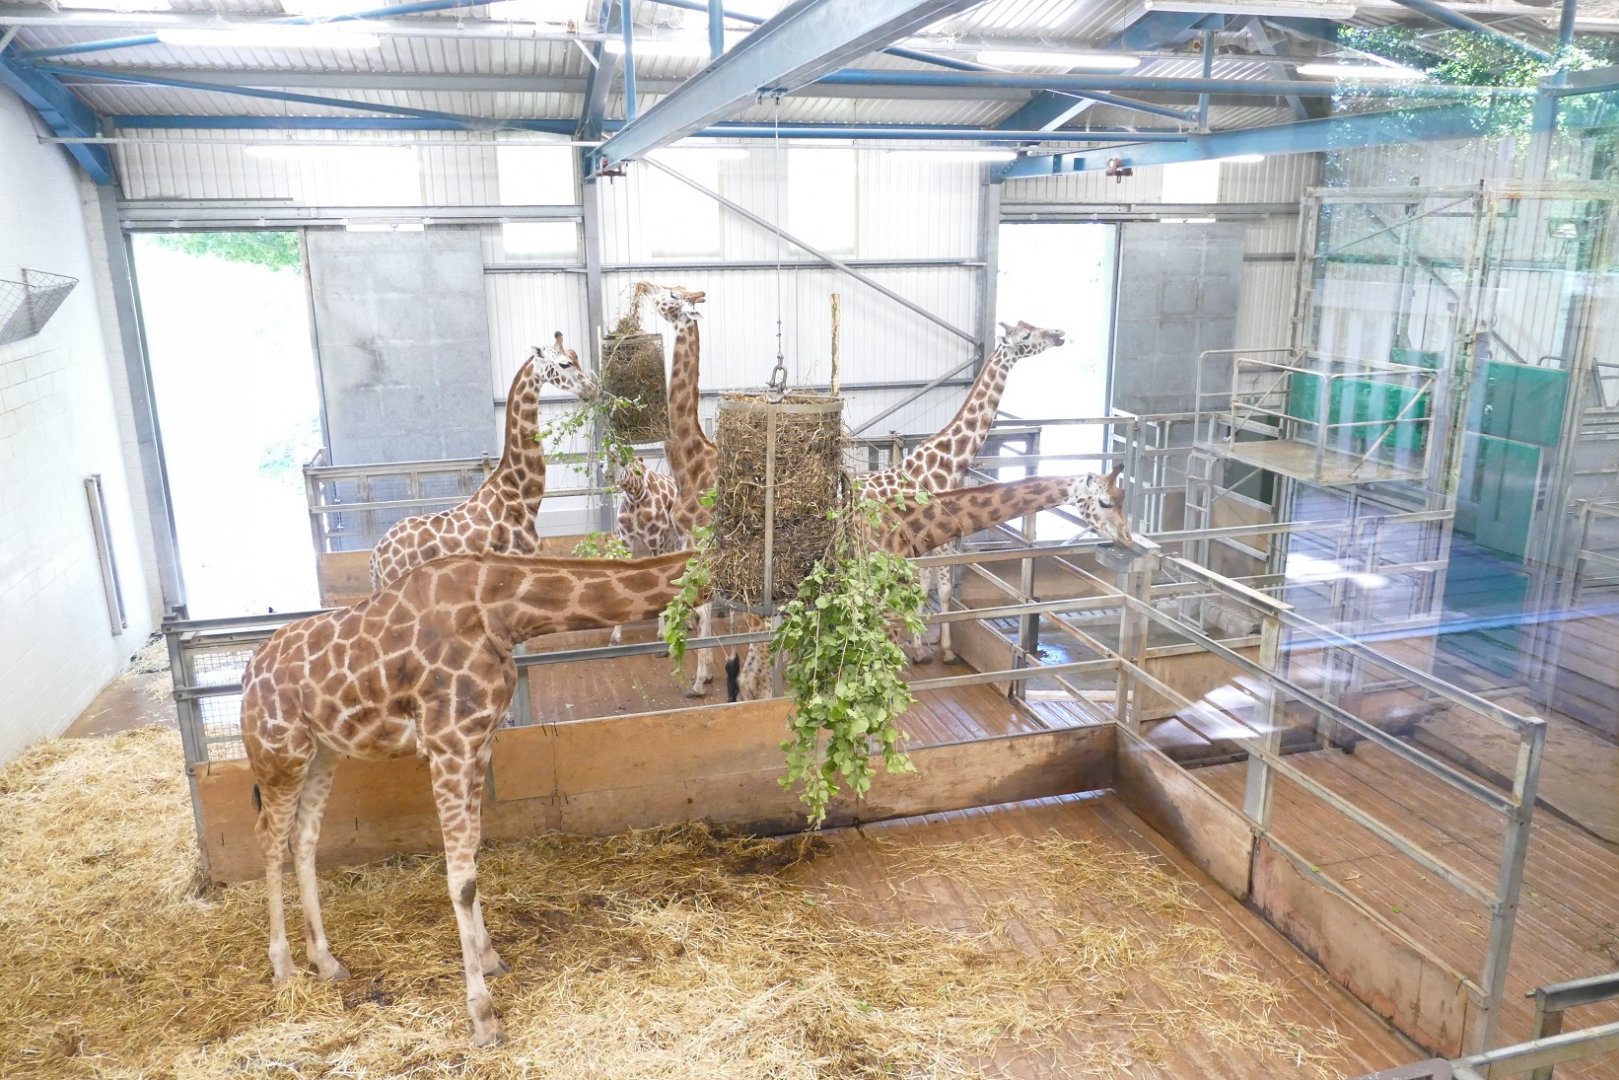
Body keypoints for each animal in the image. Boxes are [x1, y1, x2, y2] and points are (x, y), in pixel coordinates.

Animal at [239, 548, 694, 1048]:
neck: (503, 614)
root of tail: (247, 674)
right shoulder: (448, 743)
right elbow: (461, 879)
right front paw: (483, 1016)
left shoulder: (481, 743)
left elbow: (473, 856)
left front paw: (490, 957)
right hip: (279, 752)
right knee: (269, 838)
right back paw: (283, 968)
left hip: (323, 751)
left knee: (303, 837)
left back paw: (326, 961)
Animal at [730, 467, 1130, 701]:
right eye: (1104, 502)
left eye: (1122, 499)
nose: (1127, 538)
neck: (904, 521)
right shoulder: (881, 607)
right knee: (756, 678)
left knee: (750, 677)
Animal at [859, 320, 1068, 663]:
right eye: (1026, 335)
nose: (1058, 334)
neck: (949, 460)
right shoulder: (942, 541)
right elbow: (942, 590)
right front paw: (944, 650)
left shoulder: (924, 544)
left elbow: (923, 586)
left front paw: (919, 646)